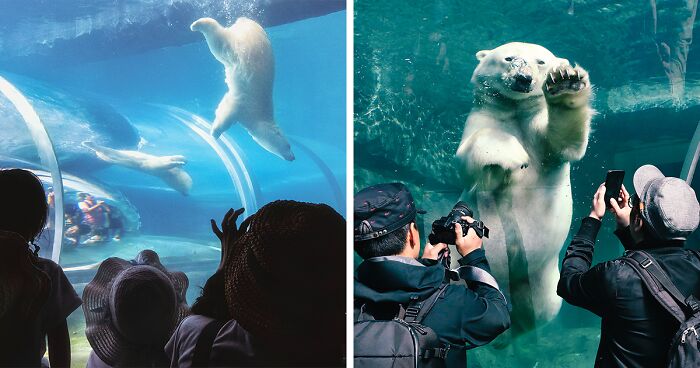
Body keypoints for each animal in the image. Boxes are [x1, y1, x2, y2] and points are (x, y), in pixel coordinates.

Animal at [190, 16, 294, 161]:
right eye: (289, 145)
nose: (293, 157)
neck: (260, 116)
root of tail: (245, 21)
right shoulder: (245, 105)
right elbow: (227, 115)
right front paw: (214, 133)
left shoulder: (237, 99)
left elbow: (224, 105)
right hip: (238, 45)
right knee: (218, 41)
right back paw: (197, 24)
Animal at [454, 42, 596, 334]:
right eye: (508, 58)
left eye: (541, 62)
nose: (523, 78)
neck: (515, 111)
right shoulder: (481, 121)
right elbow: (471, 160)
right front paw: (511, 155)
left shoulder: (539, 133)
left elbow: (564, 142)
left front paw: (566, 81)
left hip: (543, 283)